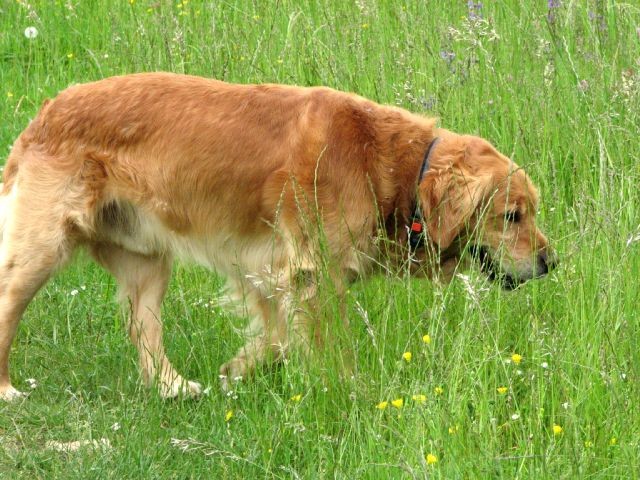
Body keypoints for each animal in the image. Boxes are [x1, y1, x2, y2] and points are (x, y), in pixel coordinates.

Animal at [0, 72, 556, 402]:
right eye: (512, 216)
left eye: (530, 212)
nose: (551, 264)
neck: (390, 165)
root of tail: (46, 111)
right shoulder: (315, 274)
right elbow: (327, 347)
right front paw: (346, 394)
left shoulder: (267, 270)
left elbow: (276, 338)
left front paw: (238, 369)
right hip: (41, 251)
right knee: (9, 304)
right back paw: (6, 389)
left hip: (147, 261)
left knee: (144, 329)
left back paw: (173, 386)